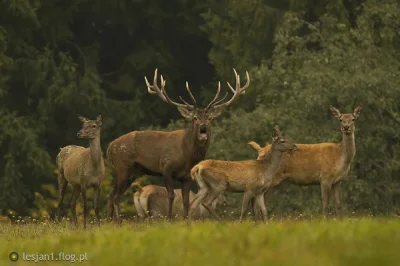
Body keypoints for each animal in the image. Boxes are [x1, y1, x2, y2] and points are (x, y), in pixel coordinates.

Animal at [108, 67, 248, 221]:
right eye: (195, 118)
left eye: (209, 118)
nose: (203, 126)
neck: (187, 156)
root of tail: (110, 146)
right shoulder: (166, 168)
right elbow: (171, 195)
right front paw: (169, 219)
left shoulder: (187, 176)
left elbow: (186, 200)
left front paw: (186, 220)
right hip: (123, 167)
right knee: (116, 195)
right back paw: (117, 221)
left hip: (132, 172)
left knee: (112, 194)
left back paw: (107, 221)